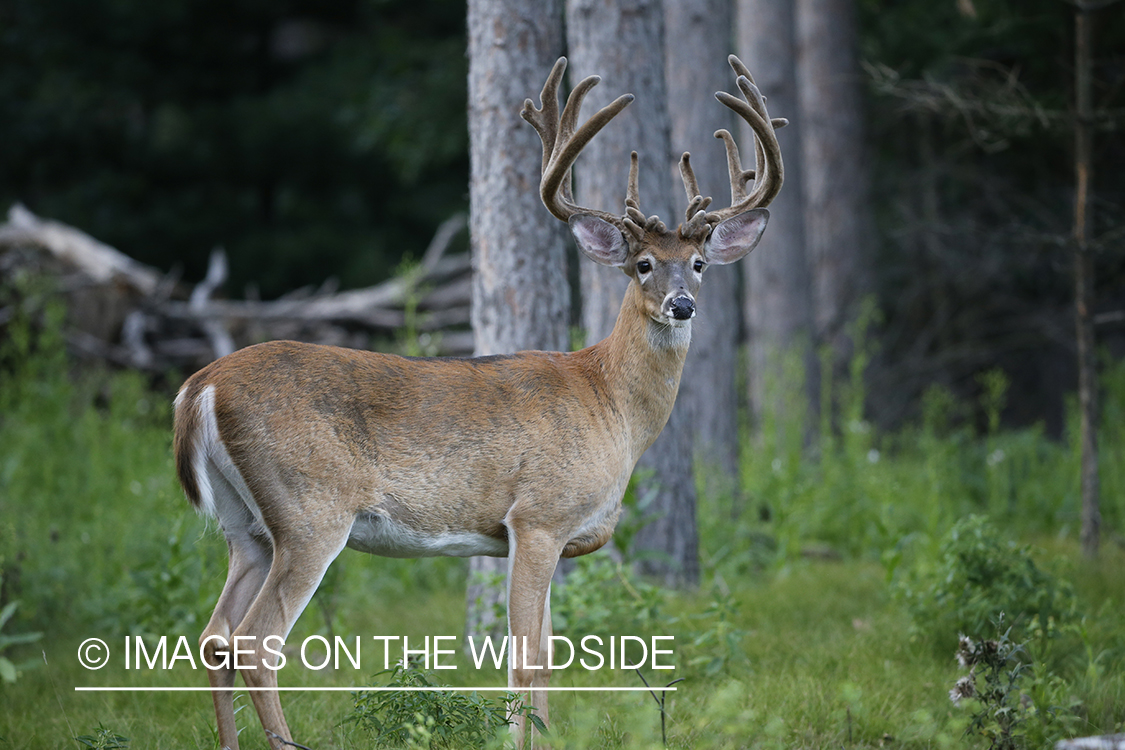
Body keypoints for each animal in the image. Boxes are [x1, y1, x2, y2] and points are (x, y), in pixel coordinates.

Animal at [173, 54, 783, 750]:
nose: (682, 305)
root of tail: (200, 387)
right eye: (645, 264)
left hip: (245, 525)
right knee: (255, 641)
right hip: (310, 509)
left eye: (701, 263)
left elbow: (547, 655)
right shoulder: (538, 515)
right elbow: (526, 655)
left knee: (214, 636)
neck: (611, 405)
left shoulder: (551, 536)